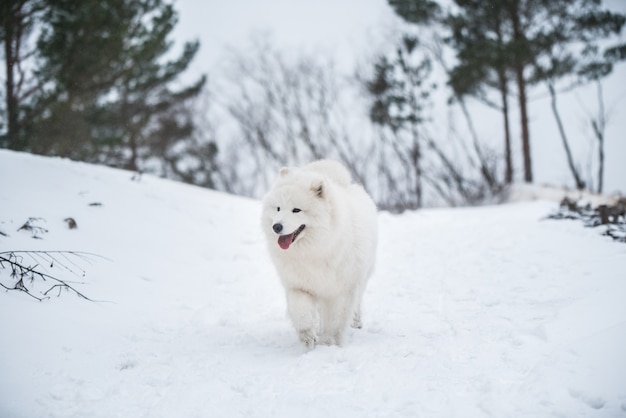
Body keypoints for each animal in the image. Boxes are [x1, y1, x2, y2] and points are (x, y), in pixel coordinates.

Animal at [260, 160, 376, 346]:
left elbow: (335, 322)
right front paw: (308, 337)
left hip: (361, 277)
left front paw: (329, 344)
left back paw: (356, 322)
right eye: (278, 208)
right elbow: (301, 312)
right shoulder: (298, 285)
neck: (315, 250)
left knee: (357, 302)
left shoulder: (341, 290)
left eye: (296, 210)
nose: (276, 226)